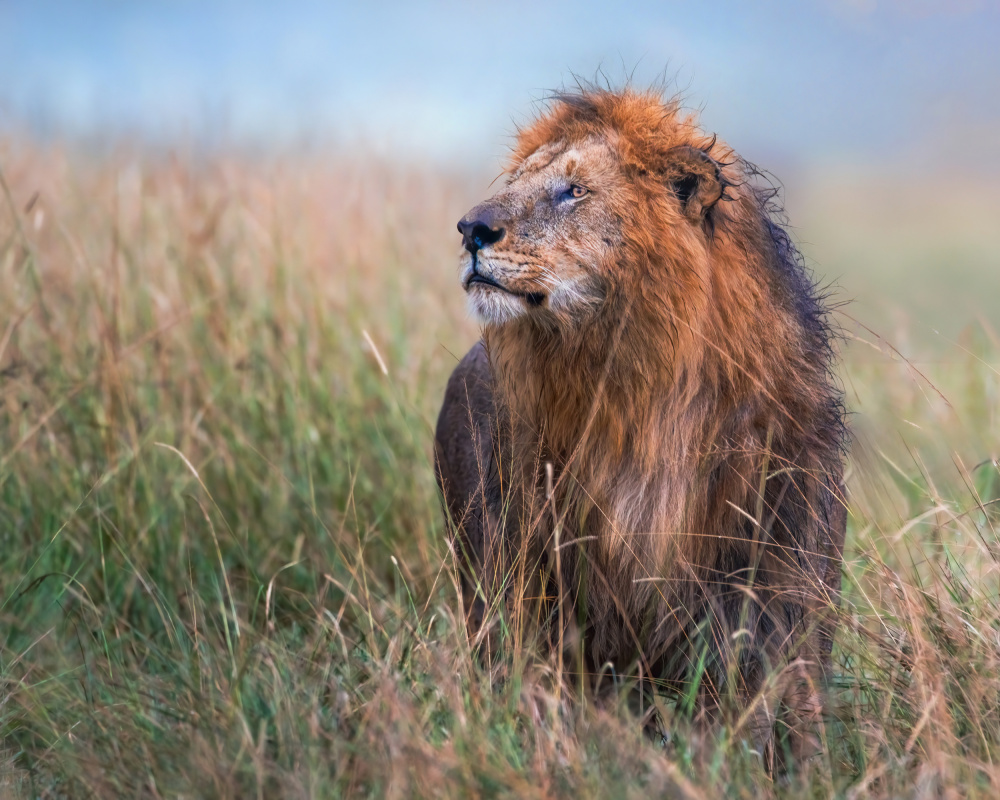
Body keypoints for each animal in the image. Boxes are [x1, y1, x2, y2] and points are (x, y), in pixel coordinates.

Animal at [435, 87, 847, 765]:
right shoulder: (537, 571)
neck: (635, 401)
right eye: (515, 184)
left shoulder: (772, 563)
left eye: (573, 191)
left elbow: (767, 693)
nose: (471, 229)